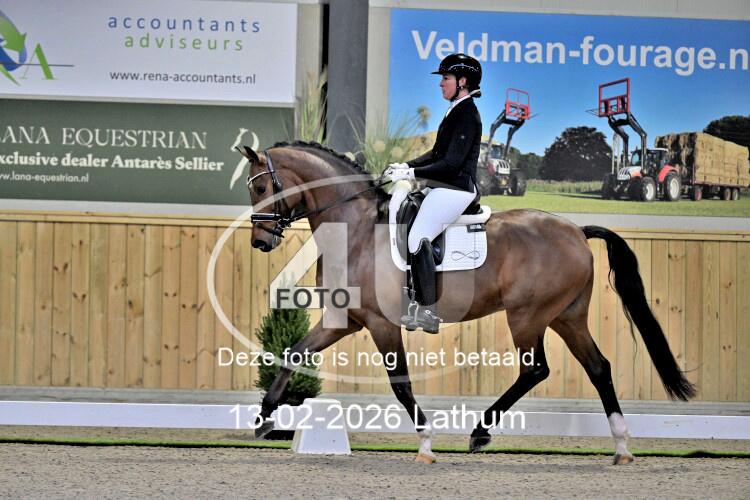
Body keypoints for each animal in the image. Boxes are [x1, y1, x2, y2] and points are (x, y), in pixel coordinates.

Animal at [239, 141, 695, 465]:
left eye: (260, 187)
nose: (260, 242)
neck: (355, 228)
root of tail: (577, 231)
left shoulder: (381, 324)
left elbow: (400, 384)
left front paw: (426, 442)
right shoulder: (344, 319)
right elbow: (293, 353)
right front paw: (264, 419)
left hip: (528, 316)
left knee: (536, 370)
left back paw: (480, 431)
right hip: (567, 316)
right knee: (599, 367)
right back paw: (621, 446)